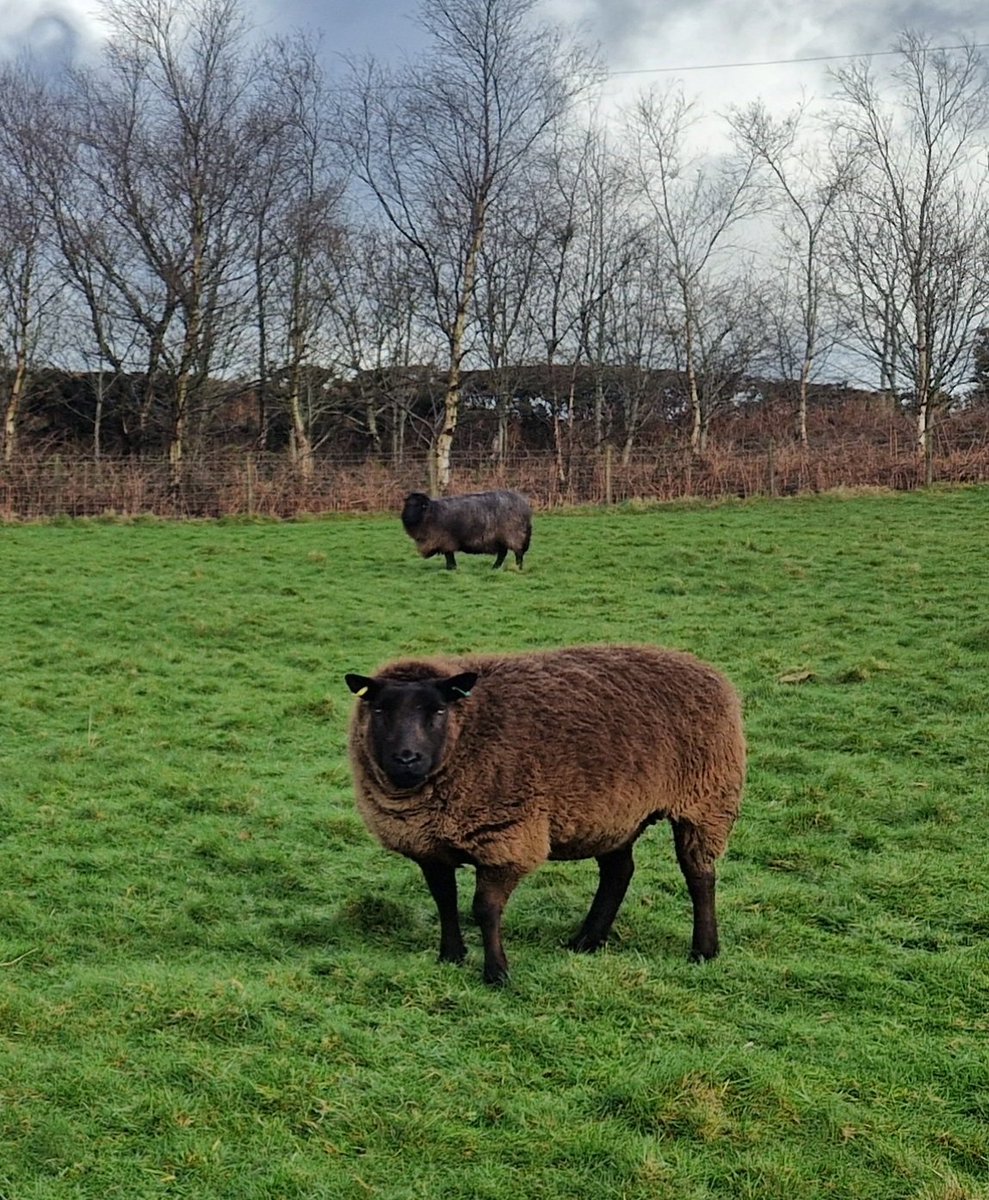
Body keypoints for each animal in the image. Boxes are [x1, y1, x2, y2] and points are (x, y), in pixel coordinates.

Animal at [345, 648, 739, 984]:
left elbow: (484, 909)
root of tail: (704, 668)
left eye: (439, 711)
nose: (407, 758)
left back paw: (704, 950)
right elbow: (445, 901)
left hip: (705, 799)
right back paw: (587, 941)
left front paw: (497, 973)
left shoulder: (507, 841)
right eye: (379, 711)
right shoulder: (429, 846)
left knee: (699, 875)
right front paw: (451, 956)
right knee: (618, 872)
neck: (468, 732)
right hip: (615, 811)